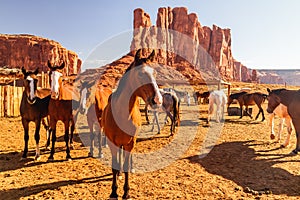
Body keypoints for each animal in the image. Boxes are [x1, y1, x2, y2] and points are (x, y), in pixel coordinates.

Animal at [101, 49, 163, 199]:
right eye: (140, 74)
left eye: (155, 73)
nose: (157, 100)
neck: (122, 114)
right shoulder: (112, 142)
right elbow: (114, 165)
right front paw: (114, 191)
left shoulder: (130, 143)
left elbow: (126, 165)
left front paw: (126, 192)